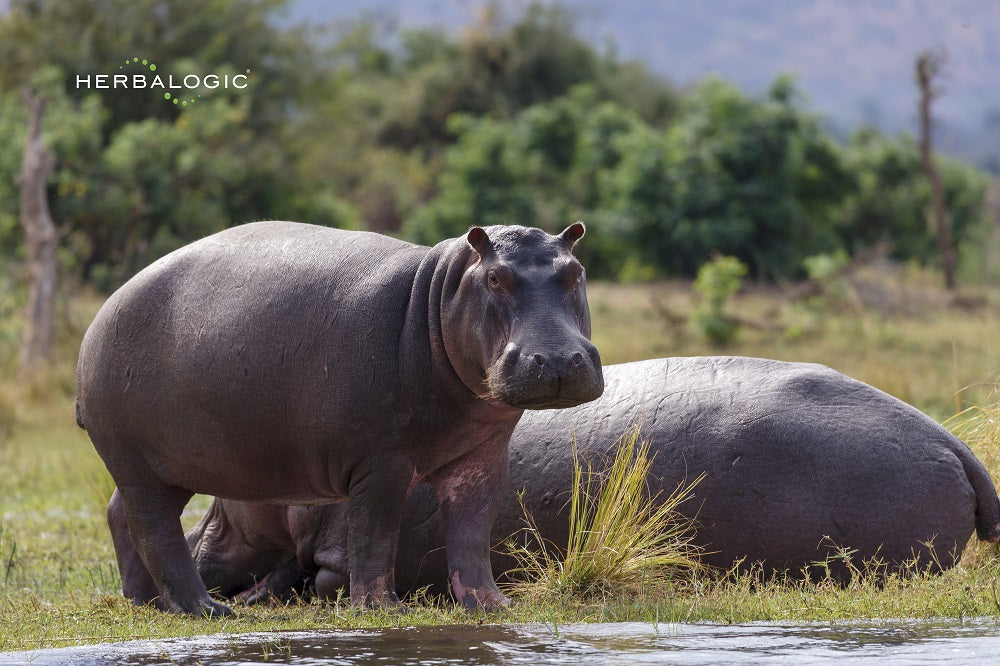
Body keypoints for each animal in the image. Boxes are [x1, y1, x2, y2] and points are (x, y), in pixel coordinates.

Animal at [76, 220, 600, 616]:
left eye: (576, 272)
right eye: (495, 278)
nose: (557, 358)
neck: (439, 296)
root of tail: (100, 316)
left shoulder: (481, 458)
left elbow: (472, 534)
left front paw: (492, 606)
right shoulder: (383, 461)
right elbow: (374, 534)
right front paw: (383, 609)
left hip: (165, 466)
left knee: (119, 513)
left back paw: (145, 602)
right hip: (138, 463)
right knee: (156, 530)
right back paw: (205, 609)